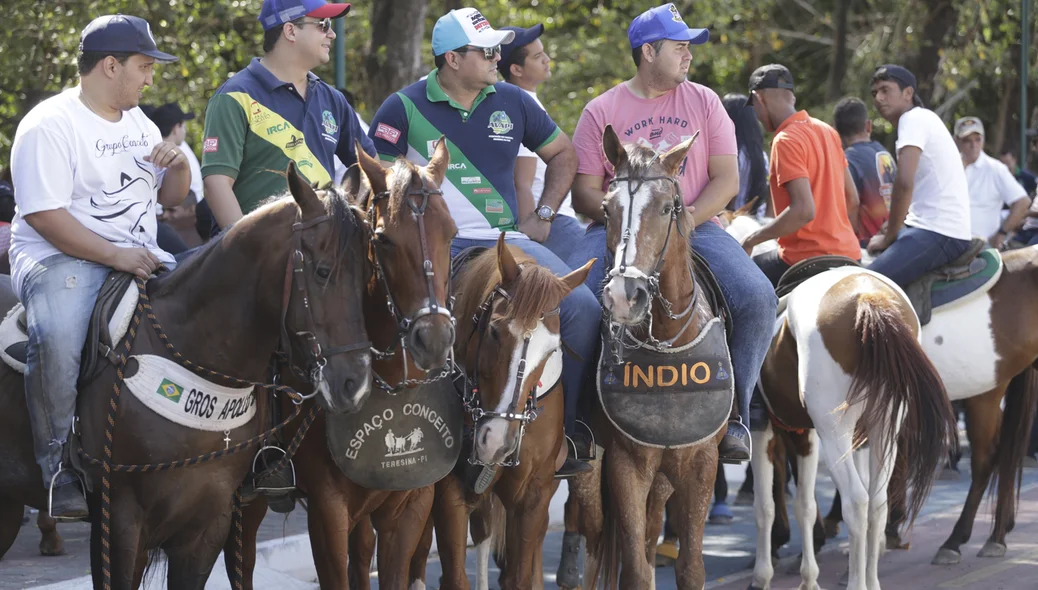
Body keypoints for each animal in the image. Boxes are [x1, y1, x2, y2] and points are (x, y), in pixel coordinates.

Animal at [402, 232, 593, 585]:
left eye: (552, 350)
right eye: (494, 331)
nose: (498, 443)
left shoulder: (533, 496)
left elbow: (519, 576)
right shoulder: (450, 494)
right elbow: (455, 576)